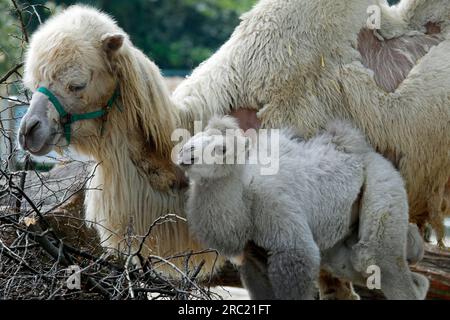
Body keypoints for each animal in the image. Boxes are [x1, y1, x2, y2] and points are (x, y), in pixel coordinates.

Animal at [179, 117, 428, 300]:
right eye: (192, 138)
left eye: (222, 149)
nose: (185, 154)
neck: (244, 199)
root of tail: (368, 152)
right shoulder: (252, 257)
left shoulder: (283, 227)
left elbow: (299, 264)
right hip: (339, 246)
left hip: (382, 184)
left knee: (378, 257)